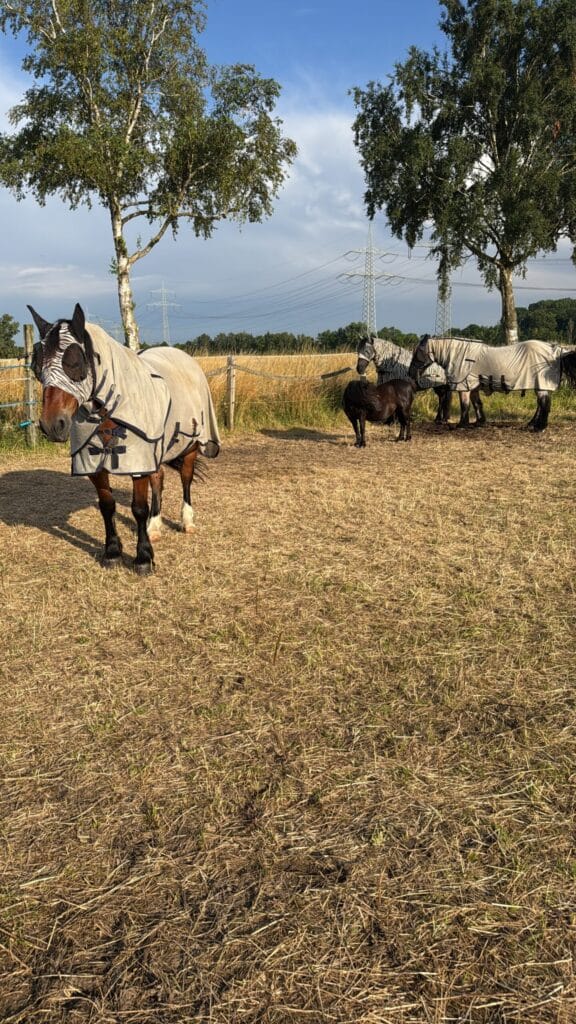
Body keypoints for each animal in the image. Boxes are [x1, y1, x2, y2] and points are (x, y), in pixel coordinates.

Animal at [28, 303, 221, 574]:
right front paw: (112, 552)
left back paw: (187, 521)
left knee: (186, 478)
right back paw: (155, 526)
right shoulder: (95, 464)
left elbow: (138, 508)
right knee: (158, 478)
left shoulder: (138, 461)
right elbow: (107, 506)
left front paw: (143, 558)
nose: (52, 425)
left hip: (191, 445)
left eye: (75, 362)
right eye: (37, 367)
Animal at [409, 334, 572, 431]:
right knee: (541, 405)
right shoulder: (472, 386)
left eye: (418, 353)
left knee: (544, 404)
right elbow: (476, 404)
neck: (463, 356)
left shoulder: (464, 386)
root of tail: (555, 349)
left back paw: (539, 427)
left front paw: (462, 424)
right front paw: (479, 422)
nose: (410, 373)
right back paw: (532, 424)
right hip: (540, 385)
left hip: (541, 385)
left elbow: (465, 405)